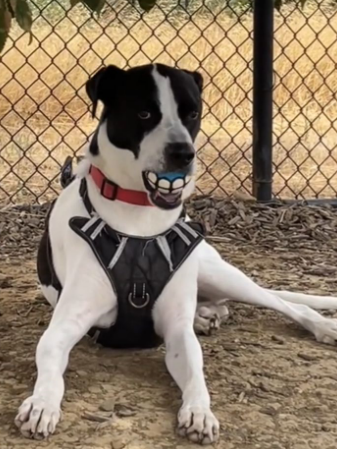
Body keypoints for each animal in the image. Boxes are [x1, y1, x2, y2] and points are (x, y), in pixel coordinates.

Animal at [15, 64, 337, 444]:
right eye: (144, 113)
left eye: (192, 114)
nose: (183, 153)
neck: (139, 222)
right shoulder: (66, 322)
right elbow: (50, 357)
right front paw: (42, 404)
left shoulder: (177, 334)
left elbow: (196, 369)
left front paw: (199, 411)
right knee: (222, 305)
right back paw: (207, 315)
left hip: (216, 272)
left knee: (285, 303)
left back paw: (320, 325)